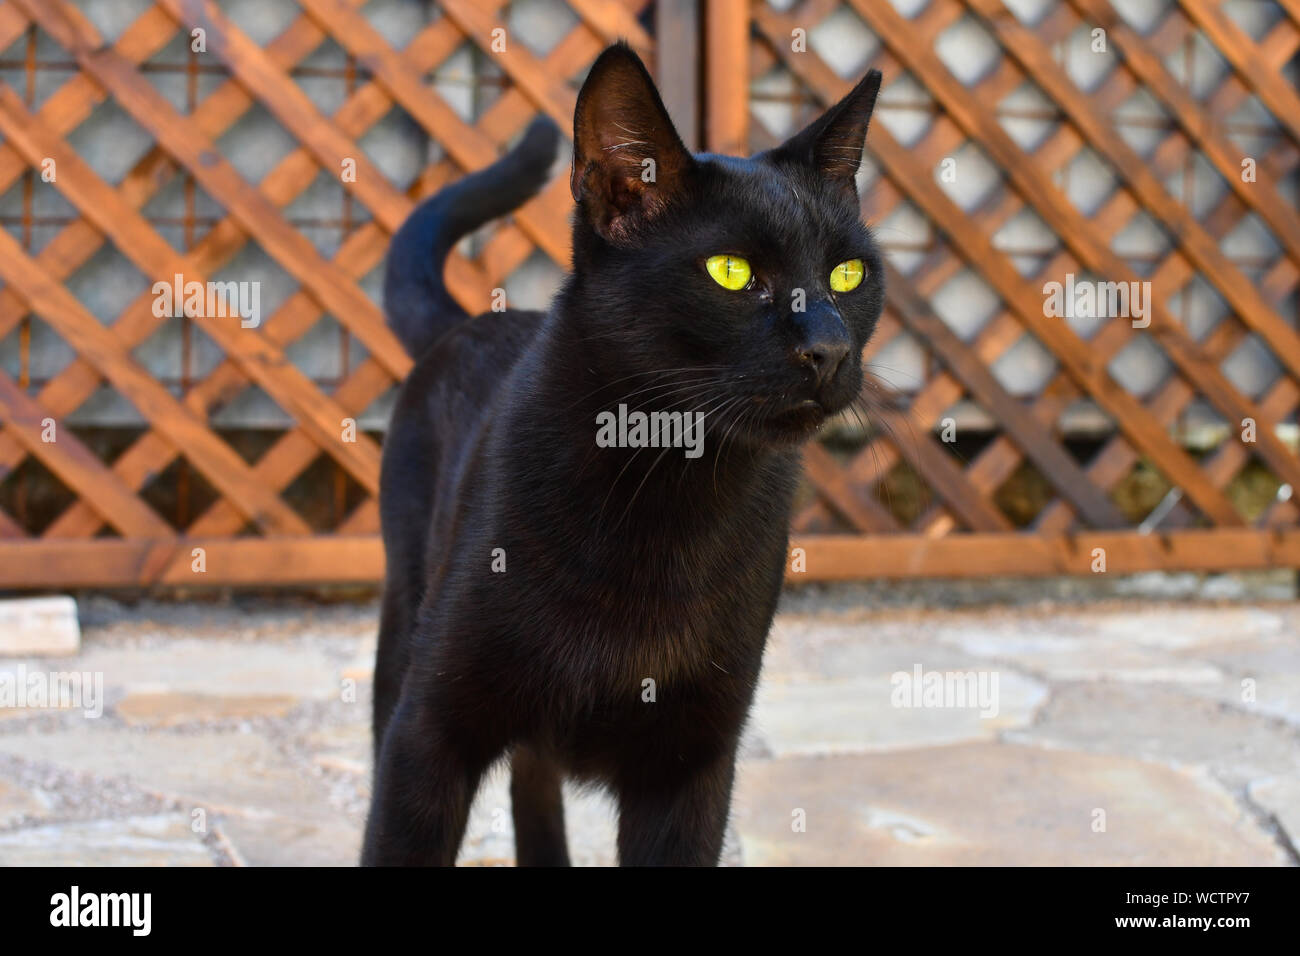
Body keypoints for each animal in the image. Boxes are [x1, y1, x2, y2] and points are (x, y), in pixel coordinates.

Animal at [366, 44, 883, 868]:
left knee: (532, 779)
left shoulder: (692, 766)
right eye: (732, 272)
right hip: (400, 633)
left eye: (848, 275)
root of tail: (469, 322)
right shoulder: (430, 732)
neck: (665, 492)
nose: (829, 348)